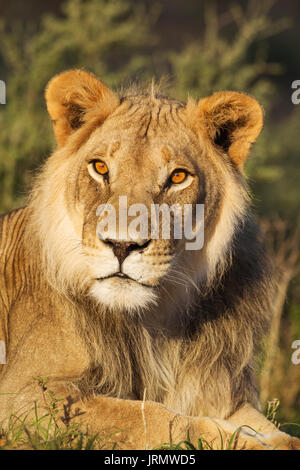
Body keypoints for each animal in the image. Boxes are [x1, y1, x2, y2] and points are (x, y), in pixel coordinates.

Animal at [0, 69, 298, 448]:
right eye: (100, 168)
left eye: (178, 177)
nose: (122, 245)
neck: (154, 320)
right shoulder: (24, 395)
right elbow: (152, 418)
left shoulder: (221, 391)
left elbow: (269, 427)